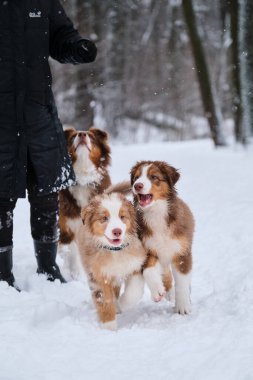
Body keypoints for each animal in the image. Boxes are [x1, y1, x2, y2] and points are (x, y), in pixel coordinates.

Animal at [59, 127, 111, 276]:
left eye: (91, 137)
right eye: (73, 137)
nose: (82, 134)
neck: (82, 178)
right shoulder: (67, 227)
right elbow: (73, 252)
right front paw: (77, 274)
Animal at [76, 193, 146, 330]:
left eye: (122, 217)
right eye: (104, 218)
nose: (117, 231)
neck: (115, 252)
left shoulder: (135, 264)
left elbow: (134, 290)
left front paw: (123, 303)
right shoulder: (98, 274)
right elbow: (105, 300)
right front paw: (109, 327)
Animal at [130, 160, 194, 314]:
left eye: (154, 177)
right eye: (136, 177)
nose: (137, 185)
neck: (156, 213)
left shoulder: (181, 252)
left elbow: (182, 280)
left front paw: (183, 307)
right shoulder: (149, 249)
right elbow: (148, 271)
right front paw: (158, 292)